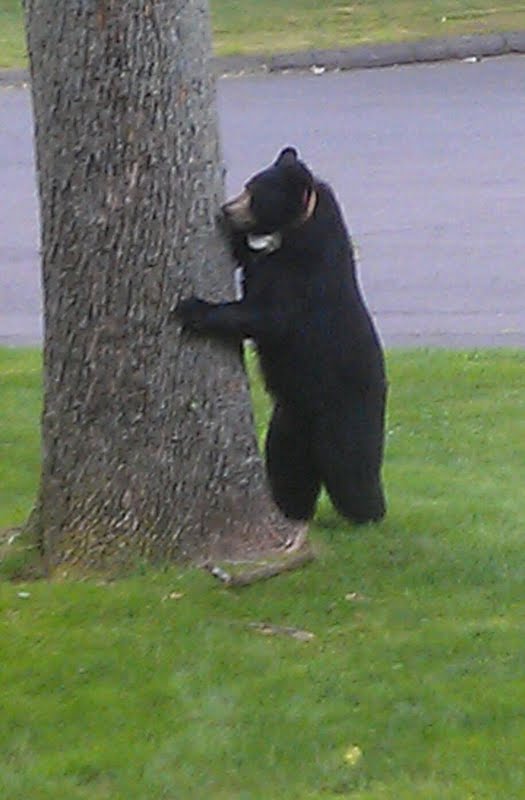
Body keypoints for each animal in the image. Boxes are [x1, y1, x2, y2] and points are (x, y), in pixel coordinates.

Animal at [178, 148, 386, 524]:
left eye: (253, 193)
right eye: (247, 186)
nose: (226, 209)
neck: (296, 231)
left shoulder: (305, 276)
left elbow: (269, 316)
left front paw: (193, 309)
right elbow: (251, 260)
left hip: (344, 415)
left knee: (351, 468)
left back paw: (368, 515)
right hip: (287, 424)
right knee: (288, 468)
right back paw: (293, 510)